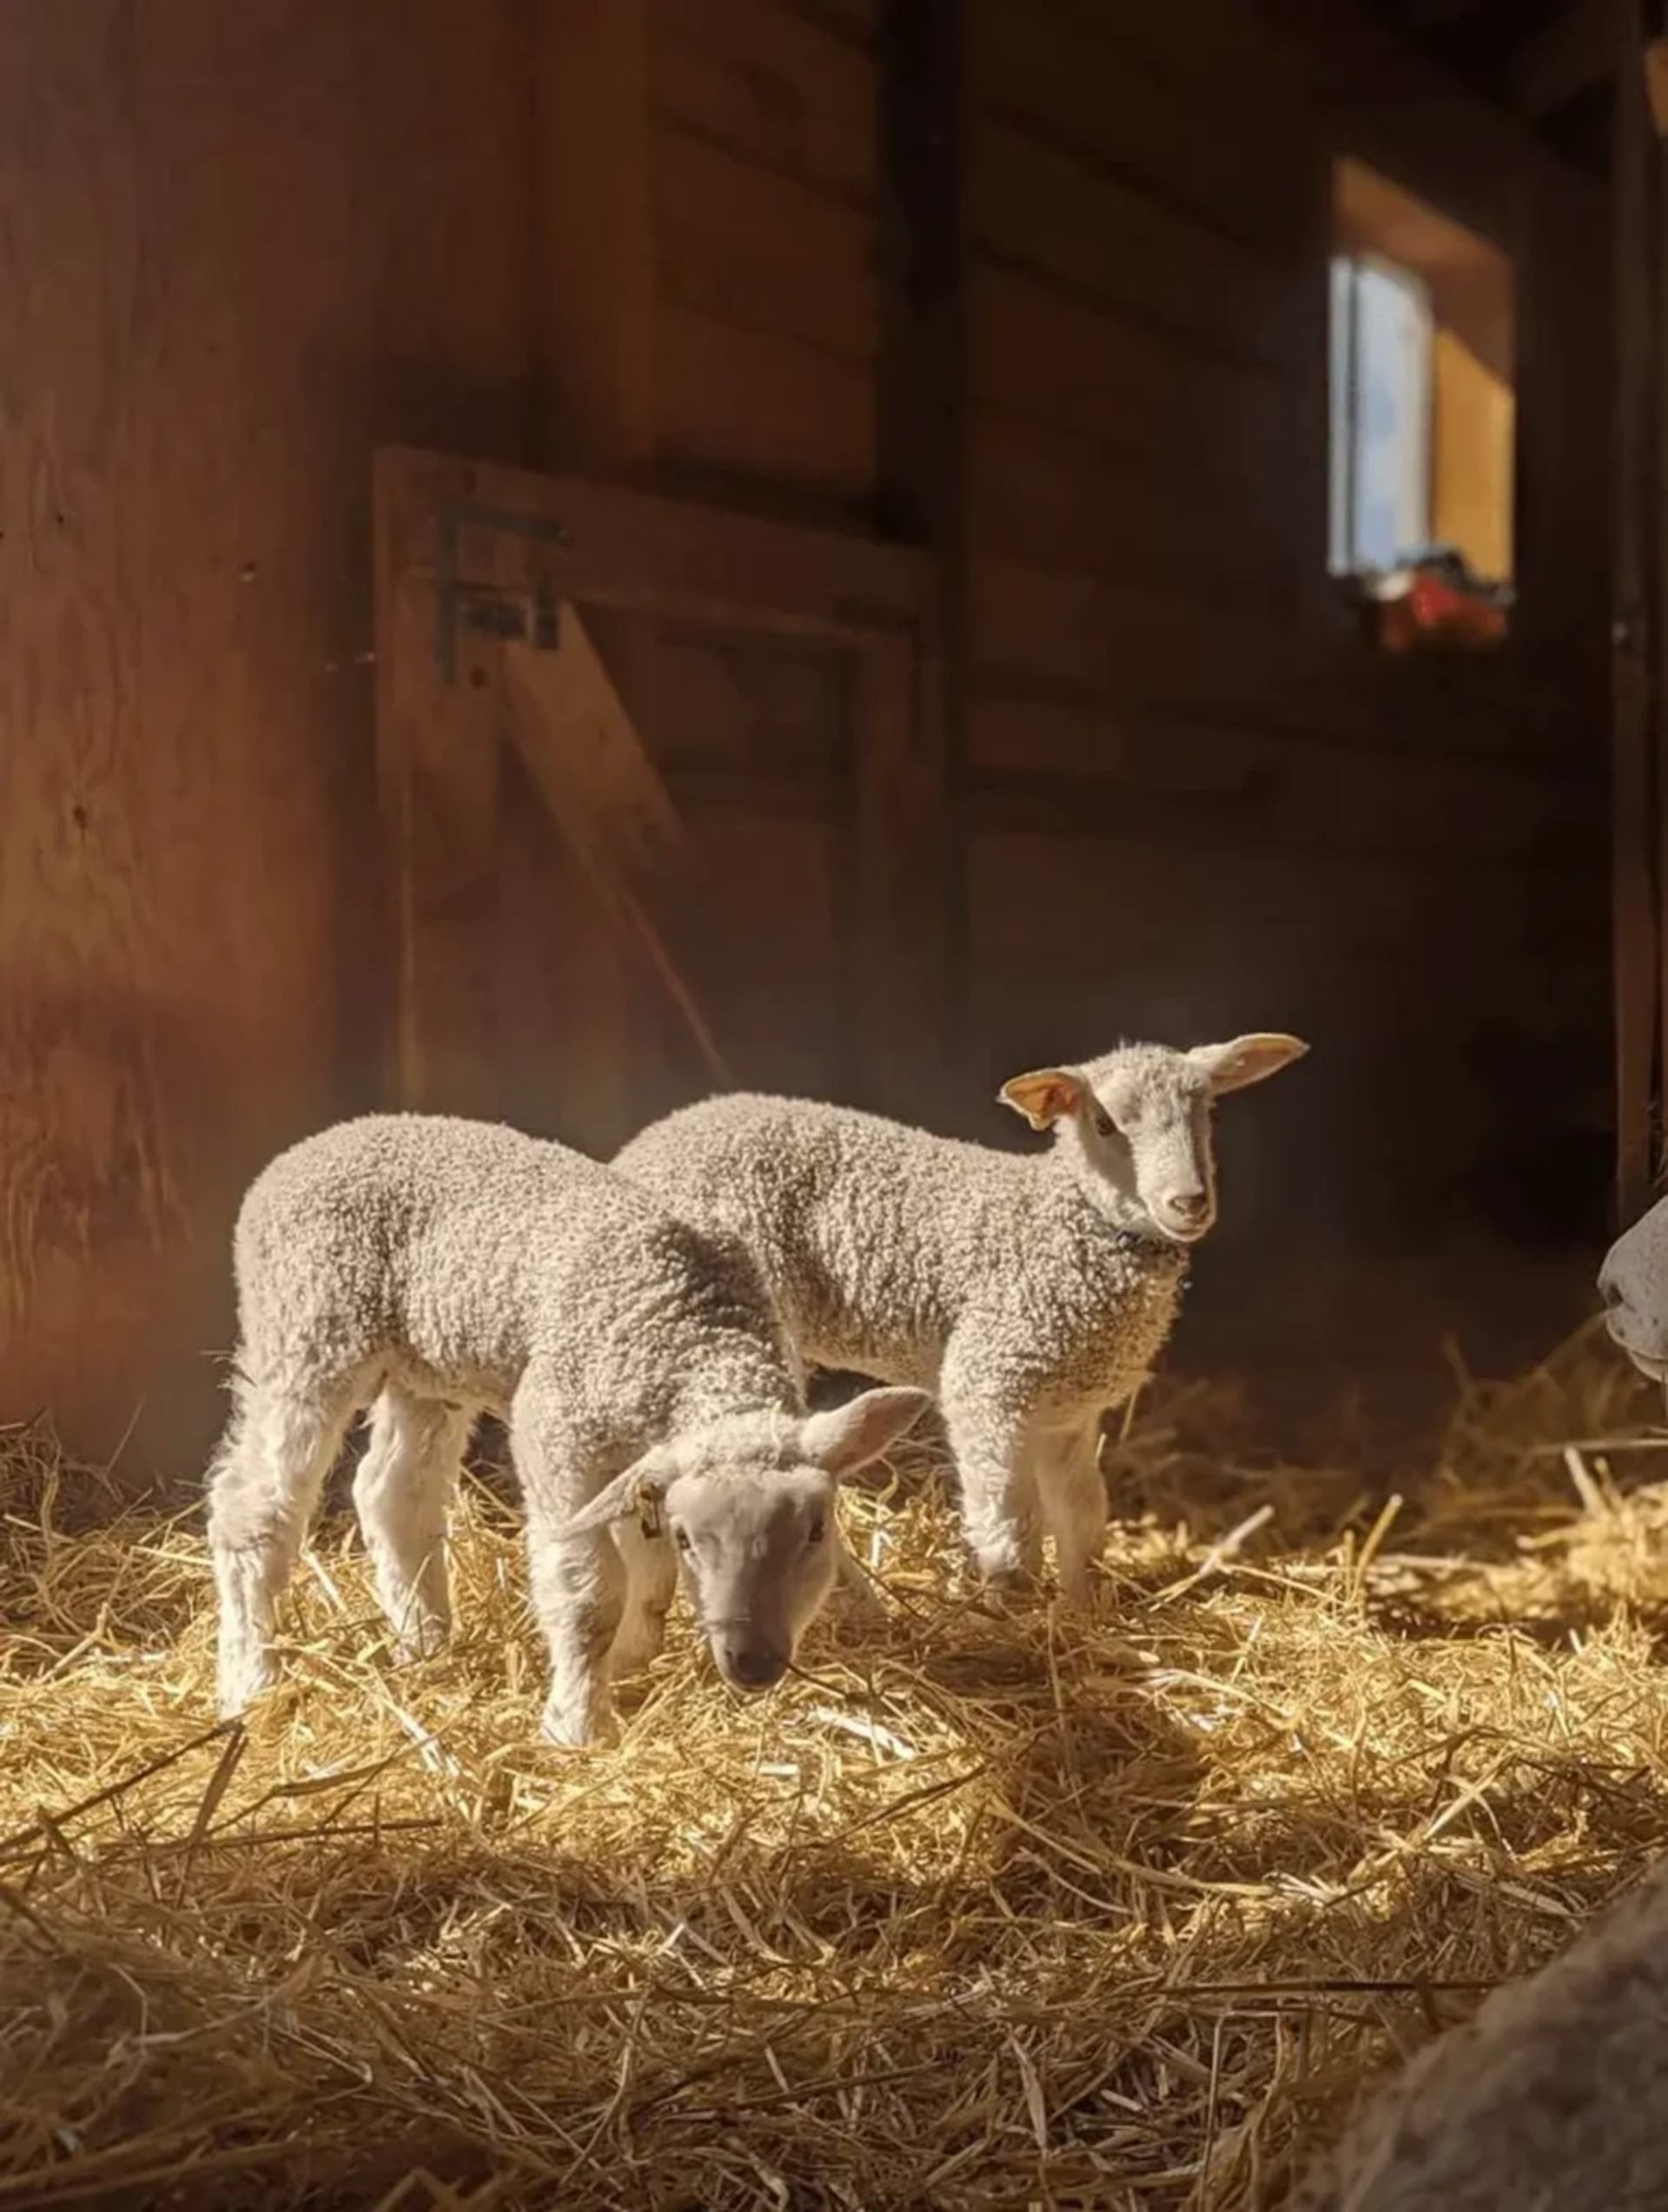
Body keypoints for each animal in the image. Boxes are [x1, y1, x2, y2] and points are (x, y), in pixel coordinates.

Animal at [206, 1114, 929, 1746]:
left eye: (817, 1531)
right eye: (690, 1538)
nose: (751, 1661)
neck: (694, 1330)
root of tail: (310, 1146)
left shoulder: (640, 1456)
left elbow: (647, 1577)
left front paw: (632, 1660)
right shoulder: (558, 1432)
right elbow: (588, 1593)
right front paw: (579, 1724)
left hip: (426, 1365)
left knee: (393, 1494)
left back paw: (426, 1641)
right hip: (307, 1324)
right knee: (254, 1508)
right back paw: (253, 1680)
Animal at [613, 1036, 1306, 1603]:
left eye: (1206, 1112)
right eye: (1105, 1122)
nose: (1189, 1202)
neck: (1067, 1222)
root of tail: (638, 1150)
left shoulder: (1068, 1413)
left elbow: (1083, 1520)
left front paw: (1085, 1618)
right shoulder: (991, 1380)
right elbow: (1010, 1517)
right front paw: (1006, 1605)